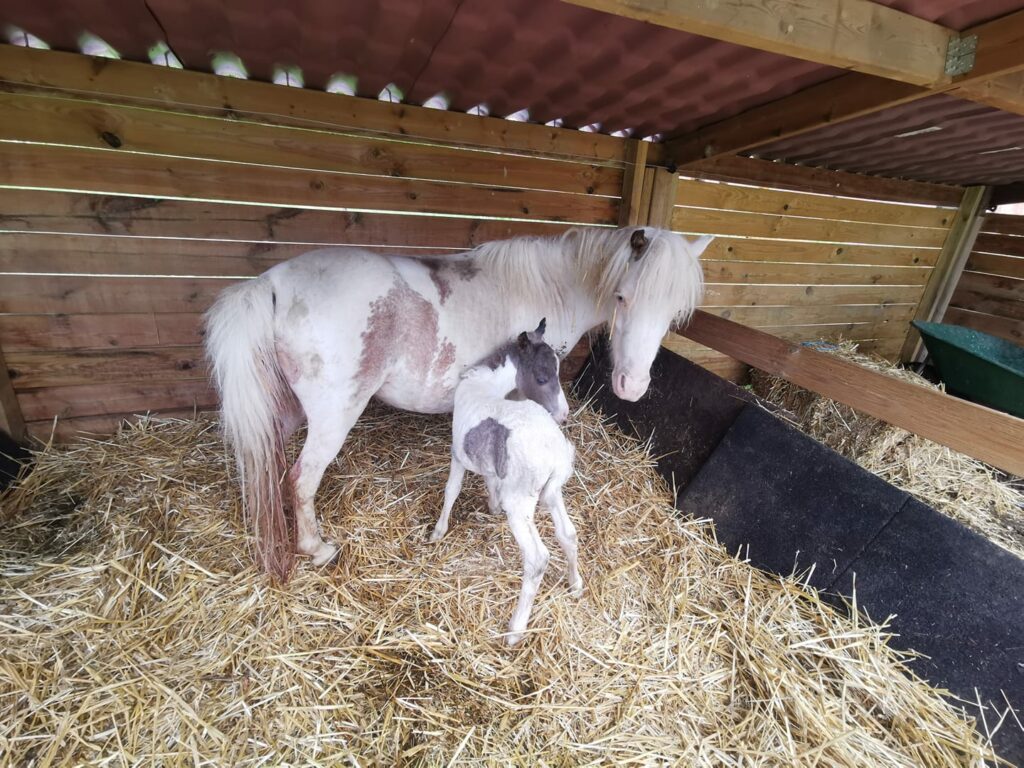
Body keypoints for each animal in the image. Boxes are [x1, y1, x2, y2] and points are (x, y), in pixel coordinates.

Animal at [205, 225, 710, 578]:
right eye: (622, 297)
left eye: (674, 313)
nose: (631, 386)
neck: (550, 286)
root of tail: (271, 282)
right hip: (332, 419)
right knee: (301, 480)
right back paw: (317, 548)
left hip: (288, 412)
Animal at [430, 319, 578, 645]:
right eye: (542, 377)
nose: (564, 414)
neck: (484, 386)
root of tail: (555, 453)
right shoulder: (488, 462)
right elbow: (488, 479)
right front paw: (492, 506)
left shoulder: (458, 454)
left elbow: (451, 490)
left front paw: (438, 531)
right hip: (553, 493)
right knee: (568, 534)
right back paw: (576, 583)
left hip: (521, 504)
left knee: (537, 558)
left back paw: (515, 630)